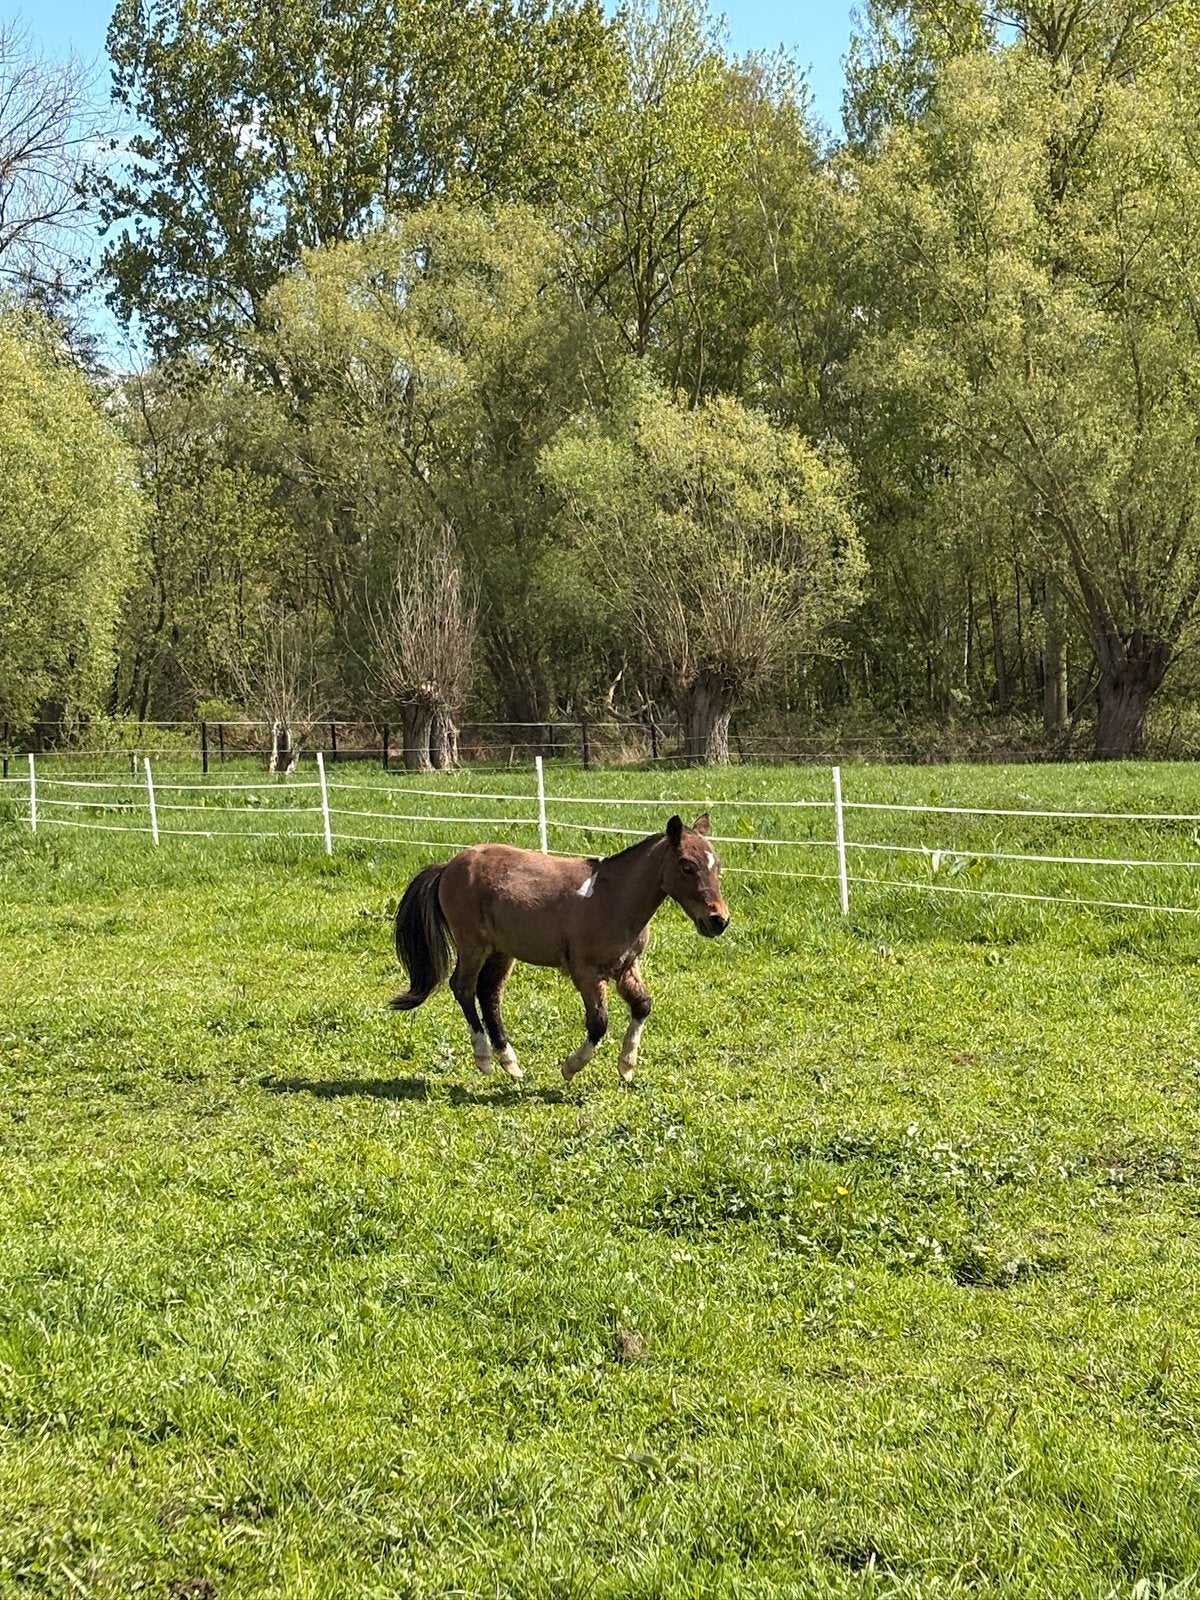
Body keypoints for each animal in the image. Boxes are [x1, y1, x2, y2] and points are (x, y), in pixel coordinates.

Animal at [389, 814, 729, 1083]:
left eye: (717, 866)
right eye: (687, 866)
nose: (718, 920)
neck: (613, 897)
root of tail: (449, 865)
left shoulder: (627, 967)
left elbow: (643, 1005)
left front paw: (626, 1066)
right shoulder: (586, 973)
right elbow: (599, 1022)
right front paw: (570, 1067)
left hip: (502, 951)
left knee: (489, 994)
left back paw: (510, 1064)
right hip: (473, 944)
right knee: (463, 987)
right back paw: (484, 1059)